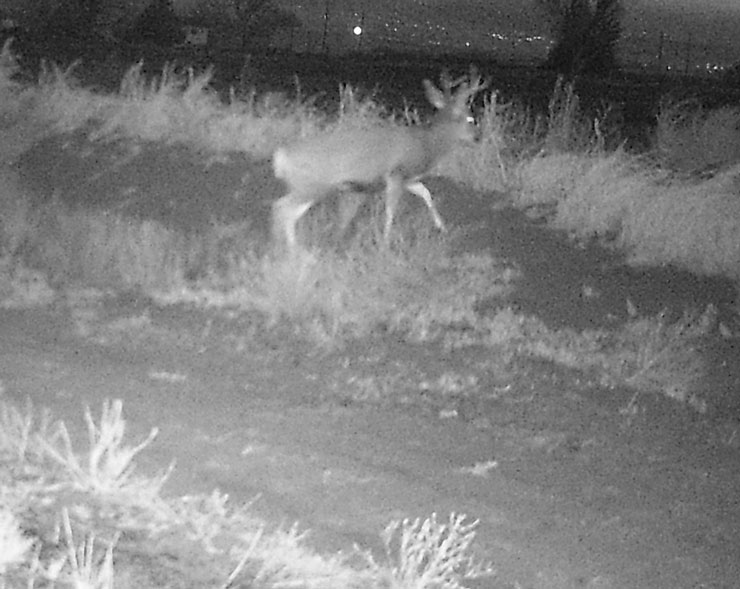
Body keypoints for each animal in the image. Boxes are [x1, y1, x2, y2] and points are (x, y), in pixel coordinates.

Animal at [271, 71, 487, 251]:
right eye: (470, 119)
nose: (478, 137)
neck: (426, 144)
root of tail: (281, 156)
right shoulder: (396, 173)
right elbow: (391, 209)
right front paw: (385, 241)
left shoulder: (409, 178)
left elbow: (427, 194)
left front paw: (442, 227)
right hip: (312, 184)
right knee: (283, 208)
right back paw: (292, 249)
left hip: (307, 186)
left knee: (283, 209)